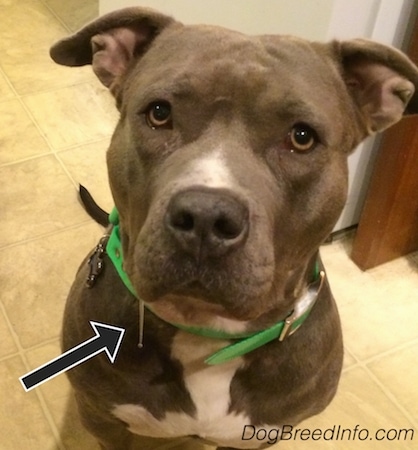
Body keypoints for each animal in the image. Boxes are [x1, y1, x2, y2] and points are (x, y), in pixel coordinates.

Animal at [50, 7, 418, 450]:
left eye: (302, 137)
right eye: (159, 113)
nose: (206, 217)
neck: (206, 336)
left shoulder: (259, 437)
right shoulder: (102, 418)